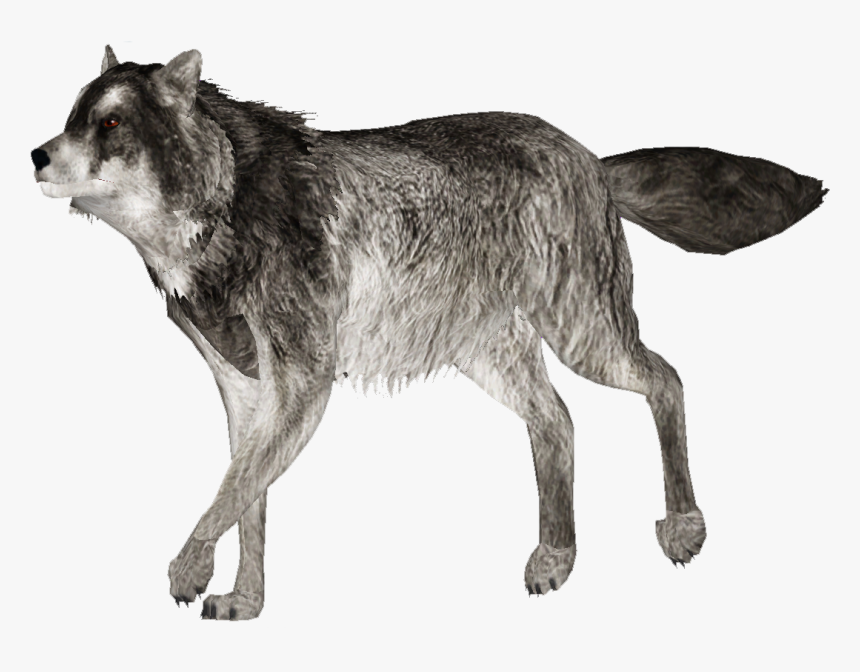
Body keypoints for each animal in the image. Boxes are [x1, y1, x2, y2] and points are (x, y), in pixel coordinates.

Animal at [32, 46, 827, 621]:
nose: (37, 154)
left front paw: (191, 569)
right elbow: (246, 494)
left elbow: (231, 492)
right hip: (492, 357)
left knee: (666, 378)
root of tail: (591, 160)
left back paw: (683, 525)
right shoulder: (247, 396)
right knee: (559, 422)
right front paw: (247, 602)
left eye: (109, 124)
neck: (224, 207)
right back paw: (556, 557)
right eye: (72, 117)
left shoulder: (303, 387)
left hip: (584, 335)